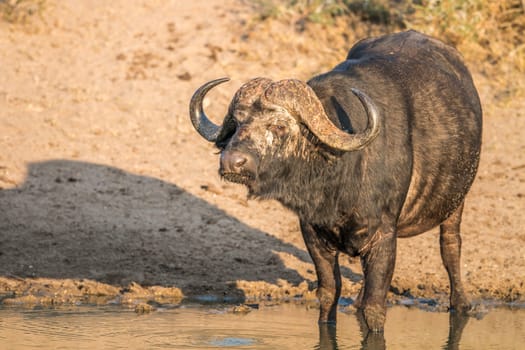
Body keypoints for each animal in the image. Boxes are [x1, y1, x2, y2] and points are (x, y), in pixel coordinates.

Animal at [186, 30, 482, 330]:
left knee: (451, 247)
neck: (337, 184)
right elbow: (329, 293)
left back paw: (461, 303)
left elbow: (375, 307)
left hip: (456, 202)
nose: (231, 162)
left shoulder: (384, 238)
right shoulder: (313, 234)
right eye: (237, 123)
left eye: (279, 126)